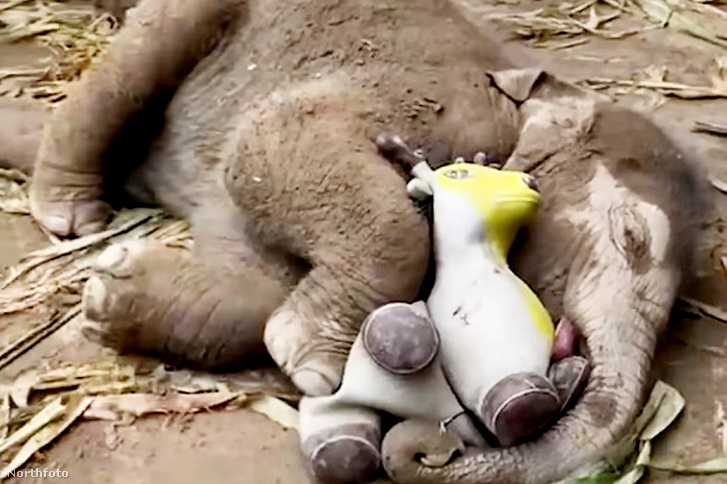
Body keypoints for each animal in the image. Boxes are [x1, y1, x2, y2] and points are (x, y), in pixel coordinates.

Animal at [0, 0, 706, 482]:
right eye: (631, 236)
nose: (431, 449)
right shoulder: (432, 100)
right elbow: (272, 139)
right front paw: (315, 365)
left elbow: (254, 261)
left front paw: (109, 299)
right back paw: (71, 217)